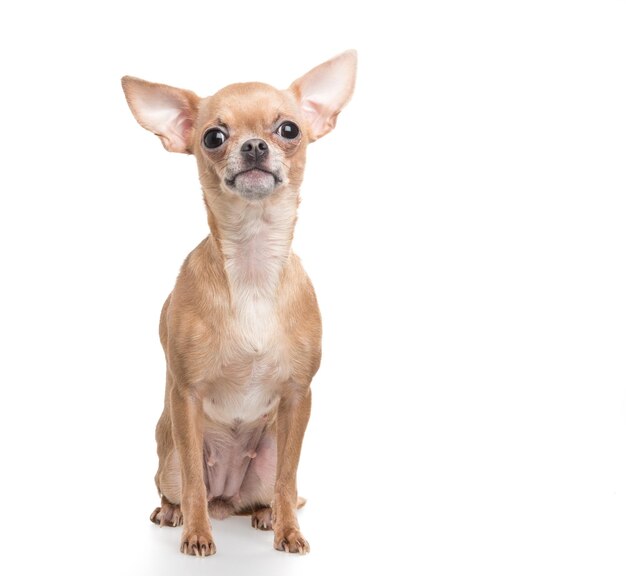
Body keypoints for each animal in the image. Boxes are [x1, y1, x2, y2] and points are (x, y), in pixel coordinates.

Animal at [120, 51, 356, 556]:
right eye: (214, 137)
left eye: (289, 129)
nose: (253, 146)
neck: (251, 264)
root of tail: (227, 500)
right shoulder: (185, 396)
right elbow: (194, 481)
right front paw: (196, 534)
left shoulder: (297, 397)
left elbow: (288, 478)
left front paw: (289, 531)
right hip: (169, 456)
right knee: (180, 486)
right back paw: (172, 513)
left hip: (264, 462)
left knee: (273, 488)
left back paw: (266, 516)